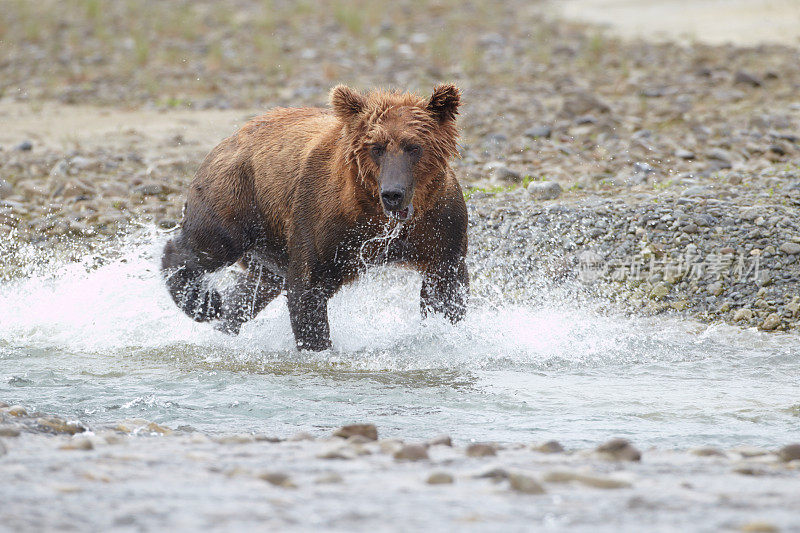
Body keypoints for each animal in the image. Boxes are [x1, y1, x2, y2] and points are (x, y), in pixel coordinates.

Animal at [162, 83, 468, 352]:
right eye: (376, 148)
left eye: (414, 147)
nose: (393, 193)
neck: (380, 218)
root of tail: (232, 136)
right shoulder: (325, 220)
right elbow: (308, 288)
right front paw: (319, 347)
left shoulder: (440, 227)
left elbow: (445, 288)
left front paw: (443, 333)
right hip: (240, 195)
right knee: (209, 244)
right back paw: (206, 303)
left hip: (272, 238)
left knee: (257, 284)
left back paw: (225, 317)